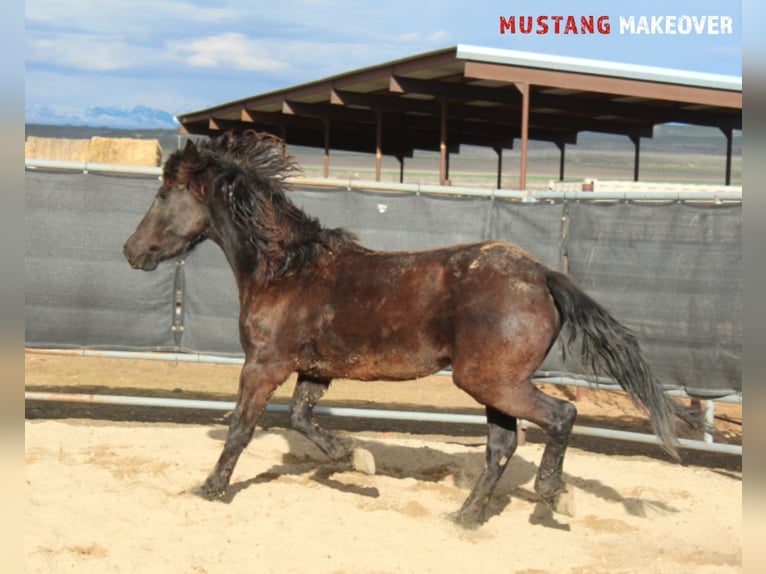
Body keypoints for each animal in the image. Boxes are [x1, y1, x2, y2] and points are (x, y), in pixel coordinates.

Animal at [123, 132, 692, 532]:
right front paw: (358, 460)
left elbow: (243, 427)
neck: (285, 270)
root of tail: (543, 274)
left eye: (163, 194)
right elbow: (302, 419)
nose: (131, 252)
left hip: (492, 381)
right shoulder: (314, 371)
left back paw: (553, 493)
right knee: (501, 446)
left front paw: (211, 488)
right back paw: (466, 517)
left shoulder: (265, 364)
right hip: (492, 386)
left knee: (560, 416)